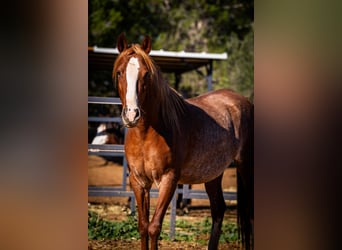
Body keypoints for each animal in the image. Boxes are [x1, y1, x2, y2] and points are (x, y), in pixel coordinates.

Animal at [113, 33, 254, 250]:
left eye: (146, 74)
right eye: (120, 72)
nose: (131, 115)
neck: (147, 135)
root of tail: (244, 101)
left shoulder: (169, 180)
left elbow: (154, 227)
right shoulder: (138, 181)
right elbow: (143, 226)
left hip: (245, 165)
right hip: (213, 174)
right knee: (218, 210)